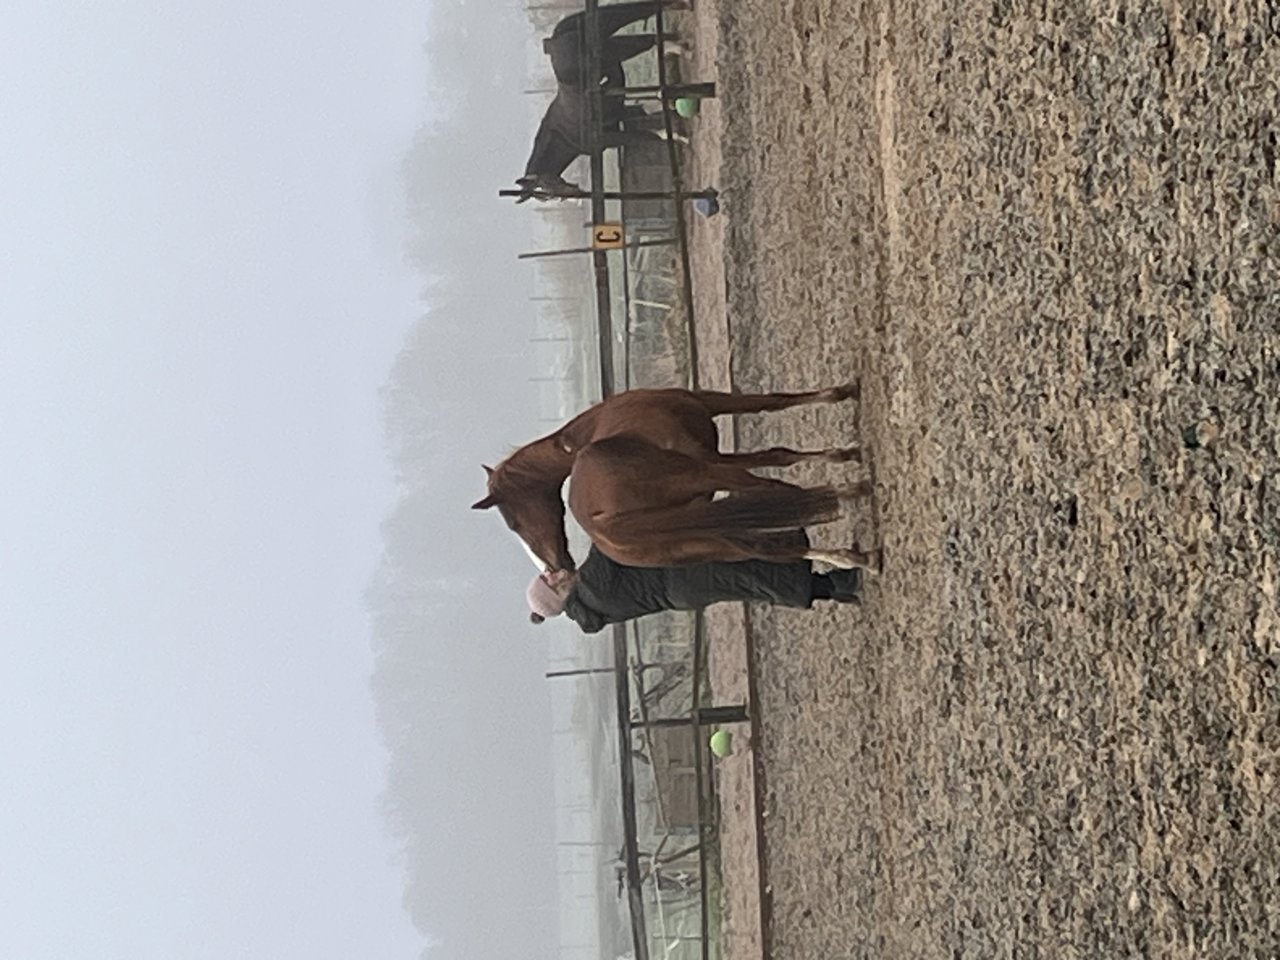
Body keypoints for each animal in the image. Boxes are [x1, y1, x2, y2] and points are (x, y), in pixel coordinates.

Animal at [471, 384, 881, 572]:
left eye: (512, 522)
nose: (558, 567)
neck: (580, 439)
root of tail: (604, 526)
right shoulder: (711, 427)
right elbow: (774, 413)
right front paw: (842, 402)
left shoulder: (712, 446)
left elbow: (775, 446)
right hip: (703, 478)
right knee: (775, 492)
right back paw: (851, 499)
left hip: (710, 542)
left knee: (770, 546)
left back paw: (852, 557)